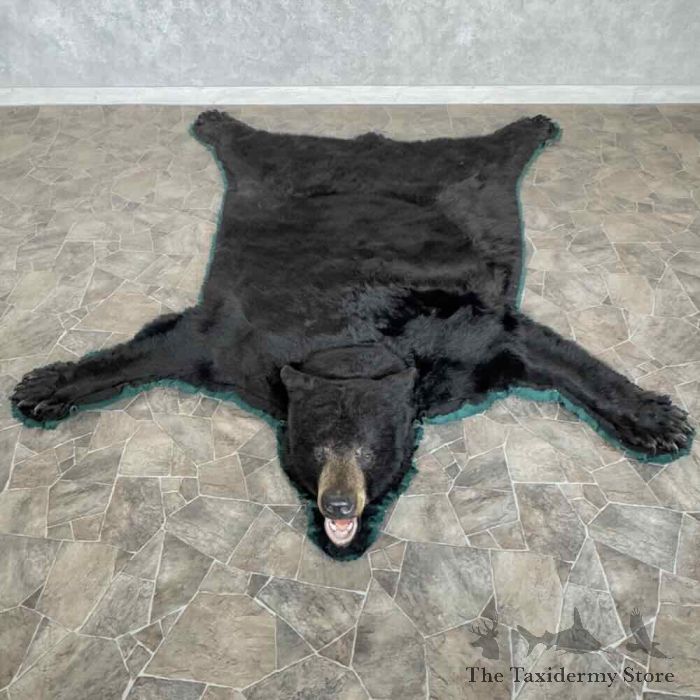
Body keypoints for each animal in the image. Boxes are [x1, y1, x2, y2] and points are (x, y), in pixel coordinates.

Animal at [12, 110, 693, 558]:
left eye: (369, 450)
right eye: (315, 449)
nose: (338, 506)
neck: (348, 348)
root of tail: (372, 148)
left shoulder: (459, 343)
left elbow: (537, 346)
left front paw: (656, 420)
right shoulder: (240, 347)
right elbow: (167, 342)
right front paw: (45, 386)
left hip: (467, 177)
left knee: (490, 150)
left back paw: (534, 125)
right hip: (270, 178)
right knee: (253, 147)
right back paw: (214, 121)